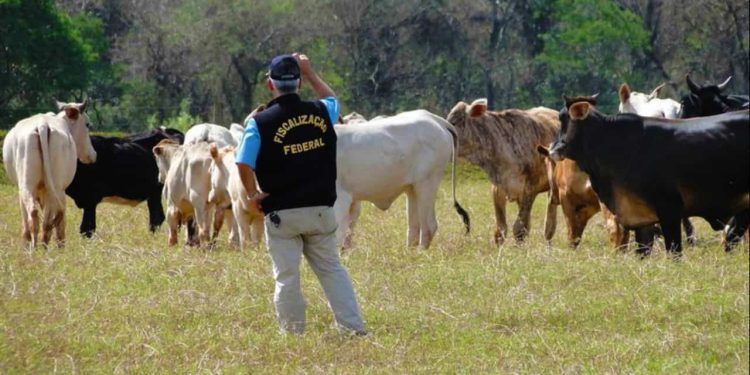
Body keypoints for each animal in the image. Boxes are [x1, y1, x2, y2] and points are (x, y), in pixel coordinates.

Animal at [2, 100, 97, 248]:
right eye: (87, 124)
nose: (93, 155)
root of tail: (42, 125)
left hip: (29, 186)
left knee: (36, 216)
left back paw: (35, 247)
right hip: (54, 189)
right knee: (47, 221)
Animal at [334, 109, 470, 250]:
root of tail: (435, 119)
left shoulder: (341, 199)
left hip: (427, 183)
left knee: (429, 226)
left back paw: (421, 253)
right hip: (412, 189)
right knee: (414, 228)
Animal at [446, 99, 560, 244]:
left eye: (454, 122)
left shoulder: (530, 189)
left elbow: (519, 229)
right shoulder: (497, 188)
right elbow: (500, 230)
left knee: (549, 224)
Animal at [548, 101, 748, 256]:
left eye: (565, 121)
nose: (552, 149)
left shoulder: (670, 209)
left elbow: (674, 251)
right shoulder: (641, 219)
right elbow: (642, 252)